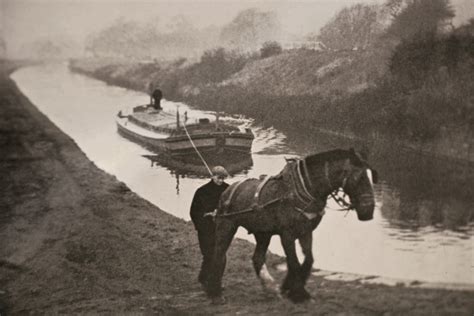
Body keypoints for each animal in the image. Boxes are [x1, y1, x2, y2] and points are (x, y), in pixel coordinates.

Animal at [206, 148, 378, 304]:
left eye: (371, 176)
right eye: (358, 177)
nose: (369, 211)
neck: (302, 190)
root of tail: (227, 190)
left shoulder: (305, 231)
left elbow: (308, 260)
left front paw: (289, 288)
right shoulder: (287, 235)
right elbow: (294, 263)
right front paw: (299, 293)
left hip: (263, 233)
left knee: (257, 258)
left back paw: (269, 288)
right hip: (226, 226)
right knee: (218, 256)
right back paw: (215, 293)